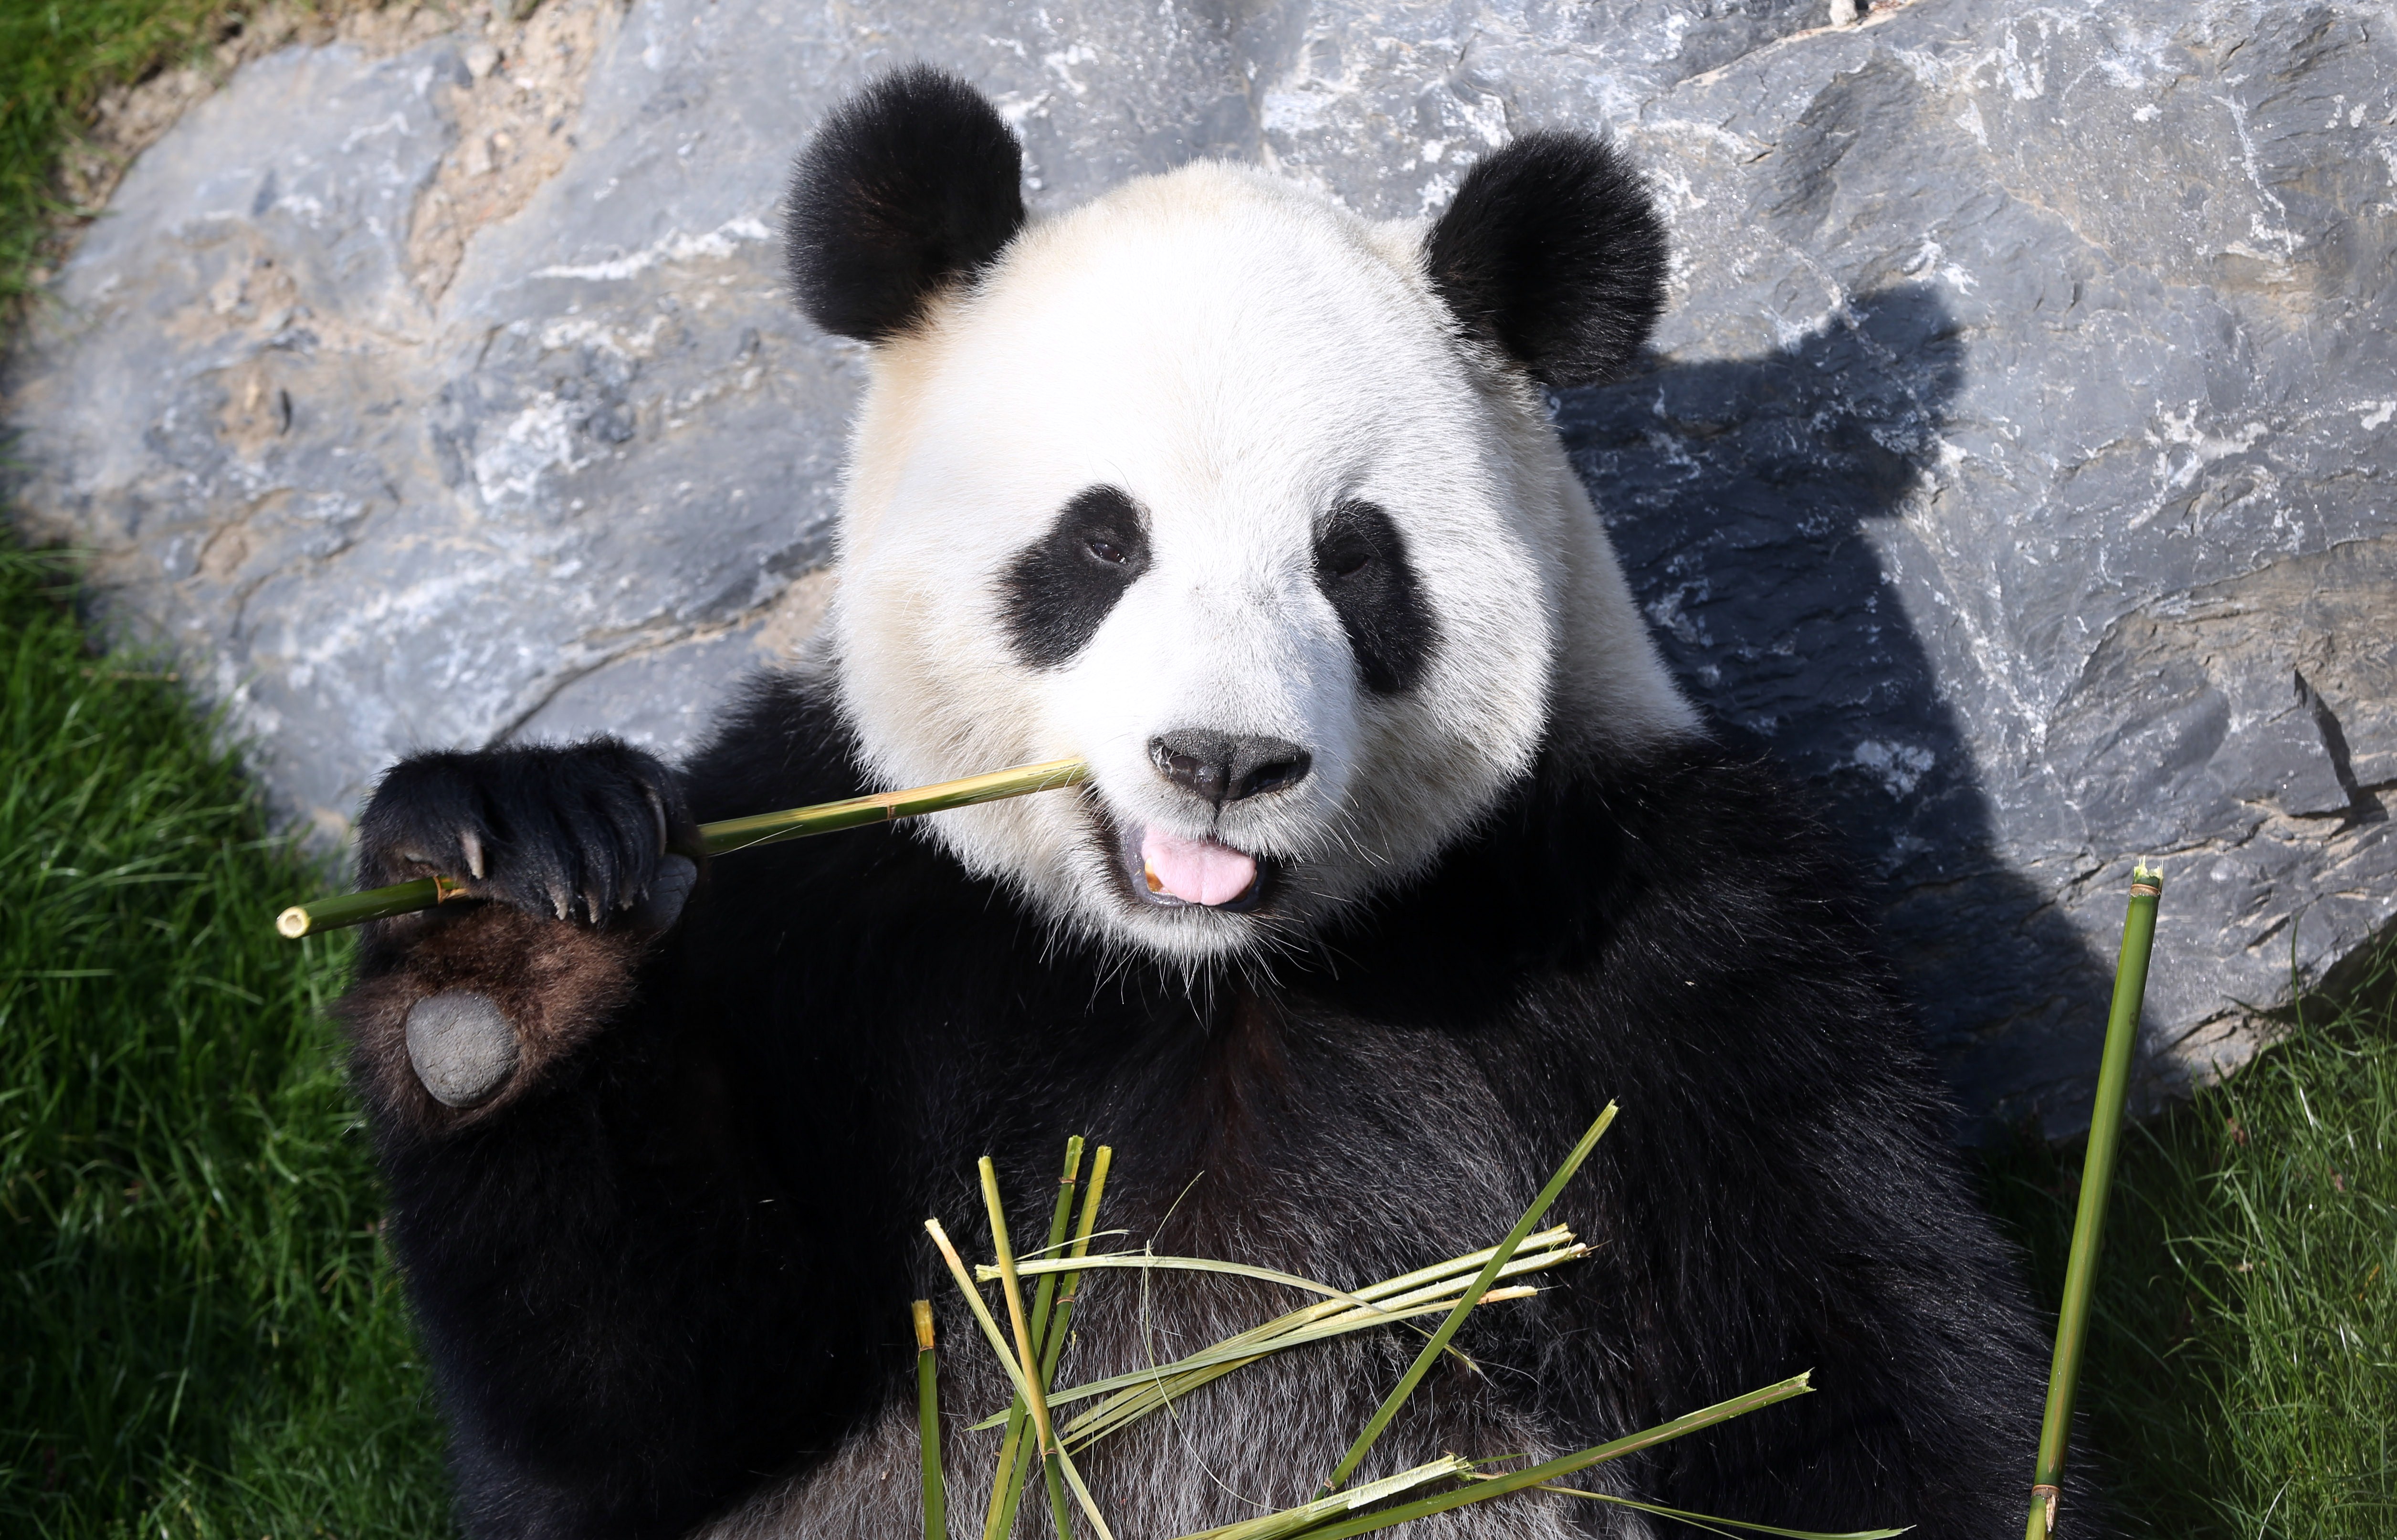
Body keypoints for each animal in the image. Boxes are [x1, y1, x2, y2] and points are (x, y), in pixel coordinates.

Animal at [340, 67, 2066, 1540]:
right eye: (1101, 543)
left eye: (1355, 559)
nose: (1223, 761)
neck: (1198, 977)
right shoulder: (834, 904)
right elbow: (650, 1417)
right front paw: (508, 933)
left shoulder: (1659, 927)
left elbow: (1847, 1373)